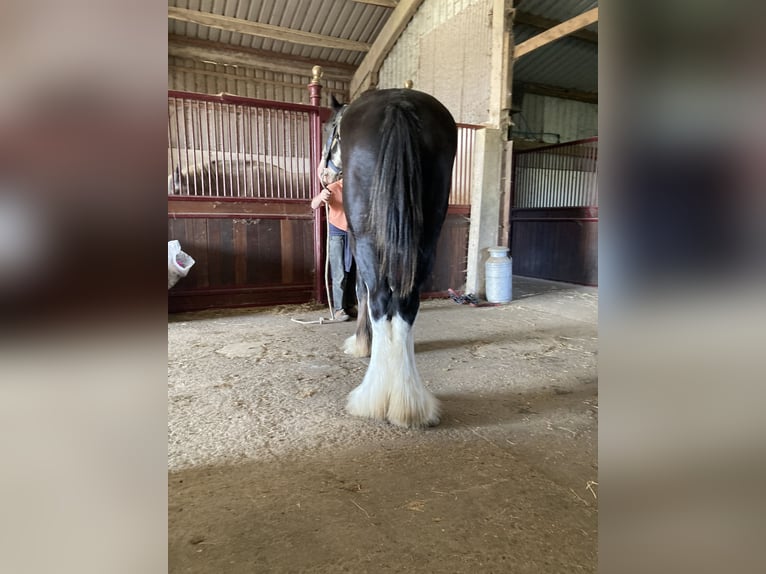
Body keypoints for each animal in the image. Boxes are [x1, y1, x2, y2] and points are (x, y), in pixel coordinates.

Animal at [322, 86, 460, 428]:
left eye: (328, 128)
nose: (324, 176)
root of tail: (399, 103)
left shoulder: (357, 244)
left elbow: (361, 292)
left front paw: (363, 344)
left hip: (368, 241)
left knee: (380, 299)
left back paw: (373, 398)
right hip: (427, 237)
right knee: (407, 303)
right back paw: (410, 403)